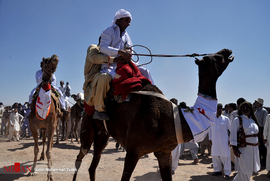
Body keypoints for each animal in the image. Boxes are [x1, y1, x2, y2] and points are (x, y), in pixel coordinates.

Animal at [72, 48, 234, 180]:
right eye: (216, 58)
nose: (227, 51)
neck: (174, 119)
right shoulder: (133, 151)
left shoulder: (164, 153)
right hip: (88, 126)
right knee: (80, 156)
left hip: (103, 134)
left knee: (92, 166)